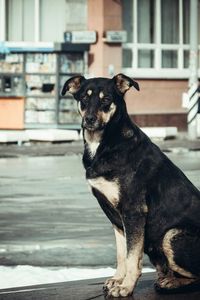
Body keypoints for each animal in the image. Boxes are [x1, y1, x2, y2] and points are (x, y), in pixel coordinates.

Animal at [61, 74, 200, 298]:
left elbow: (132, 257)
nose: (89, 119)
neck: (104, 142)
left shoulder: (133, 211)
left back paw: (170, 283)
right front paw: (118, 280)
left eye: (106, 99)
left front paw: (125, 287)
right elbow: (122, 254)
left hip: (171, 235)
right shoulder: (116, 218)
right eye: (84, 98)